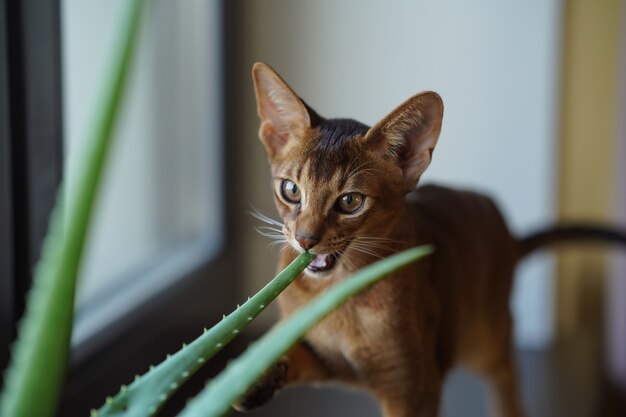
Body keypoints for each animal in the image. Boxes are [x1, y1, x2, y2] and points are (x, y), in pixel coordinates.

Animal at [234, 61, 624, 416]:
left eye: (350, 202)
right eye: (290, 190)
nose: (305, 240)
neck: (337, 294)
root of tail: (507, 229)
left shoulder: (413, 387)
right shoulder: (322, 357)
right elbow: (285, 351)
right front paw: (252, 377)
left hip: (482, 340)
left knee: (507, 373)